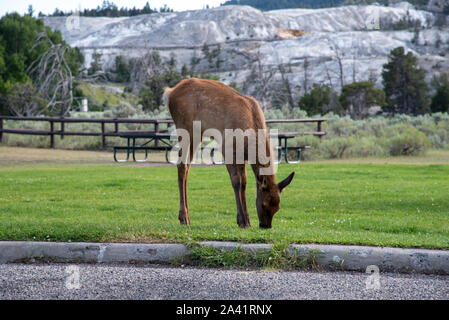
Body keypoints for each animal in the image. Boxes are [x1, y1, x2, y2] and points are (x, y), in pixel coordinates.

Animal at [164, 78, 294, 229]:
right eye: (264, 204)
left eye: (278, 207)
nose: (265, 226)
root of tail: (170, 92)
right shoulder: (227, 148)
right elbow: (236, 181)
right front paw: (241, 220)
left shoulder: (242, 156)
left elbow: (244, 182)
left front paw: (248, 220)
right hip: (185, 128)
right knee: (181, 165)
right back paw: (184, 217)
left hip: (197, 134)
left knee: (186, 166)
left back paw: (187, 217)